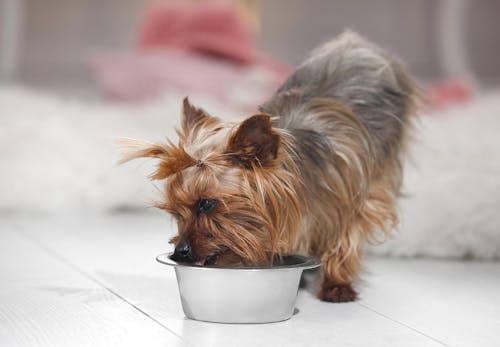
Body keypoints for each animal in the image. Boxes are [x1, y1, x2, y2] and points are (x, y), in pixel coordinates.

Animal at [119, 33, 416, 304]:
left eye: (206, 204)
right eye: (174, 211)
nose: (180, 252)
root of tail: (356, 41)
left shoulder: (352, 199)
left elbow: (346, 238)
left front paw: (337, 284)